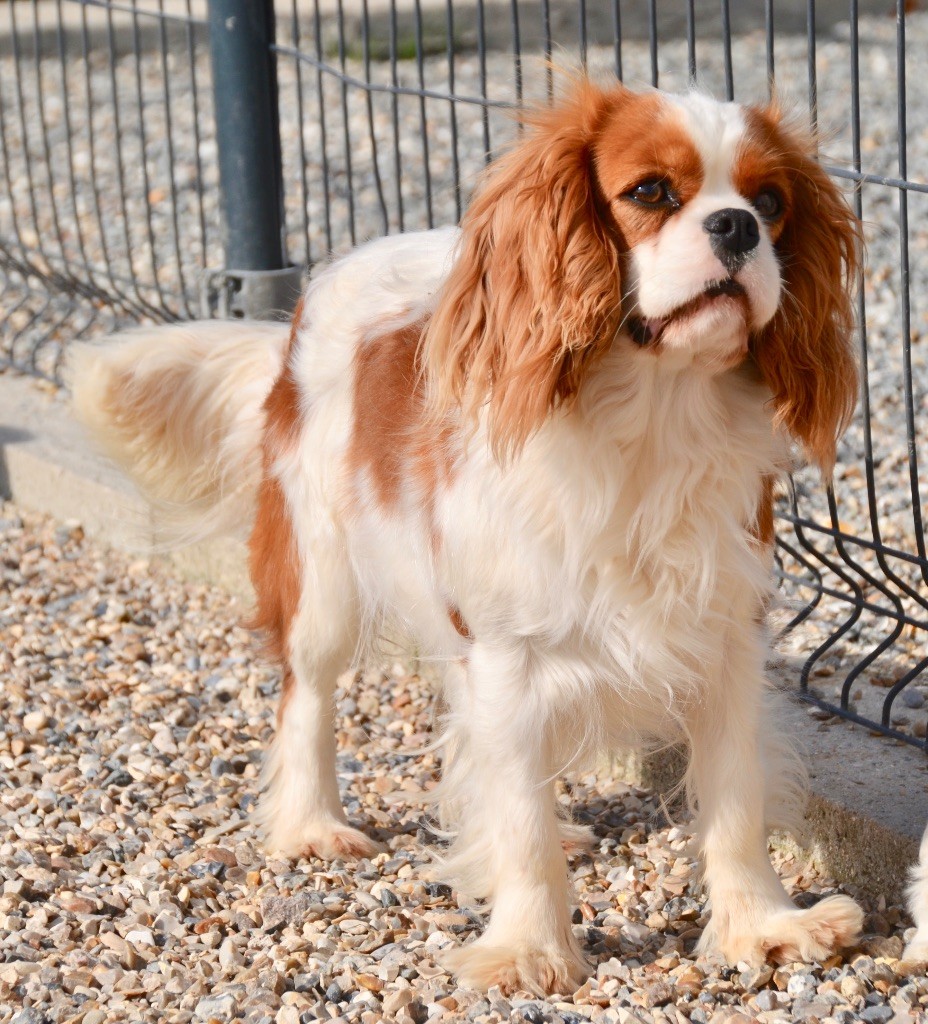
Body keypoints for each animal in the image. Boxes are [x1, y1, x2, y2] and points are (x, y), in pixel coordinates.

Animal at [70, 81, 860, 999]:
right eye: (652, 192)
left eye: (771, 205)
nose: (736, 226)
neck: (655, 419)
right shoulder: (510, 654)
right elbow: (518, 816)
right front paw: (528, 949)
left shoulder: (725, 637)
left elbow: (734, 801)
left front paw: (761, 929)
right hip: (324, 570)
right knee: (308, 692)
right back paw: (310, 825)